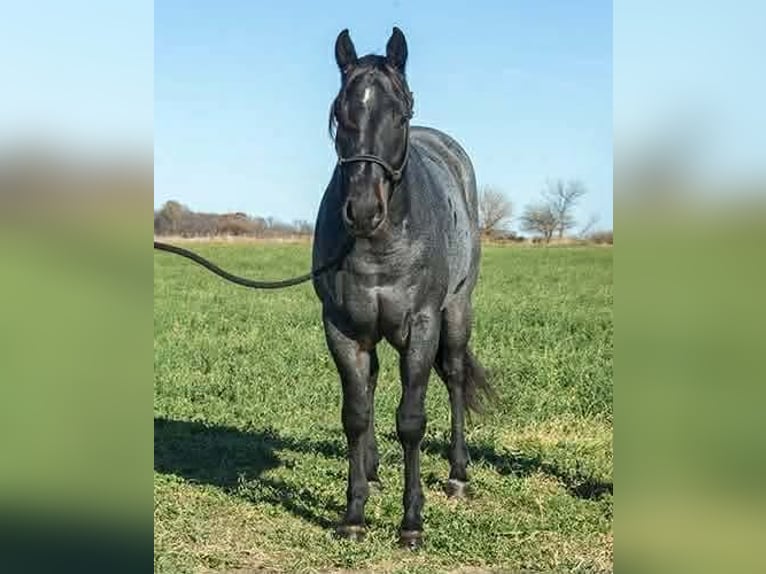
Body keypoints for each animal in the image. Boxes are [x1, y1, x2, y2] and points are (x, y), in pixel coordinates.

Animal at [312, 27, 495, 549]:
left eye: (400, 113)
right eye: (340, 112)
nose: (362, 210)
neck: (380, 243)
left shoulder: (422, 327)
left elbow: (411, 421)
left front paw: (412, 522)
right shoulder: (343, 329)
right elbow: (355, 413)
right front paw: (354, 513)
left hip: (457, 313)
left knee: (454, 376)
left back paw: (457, 474)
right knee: (372, 384)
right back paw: (372, 473)